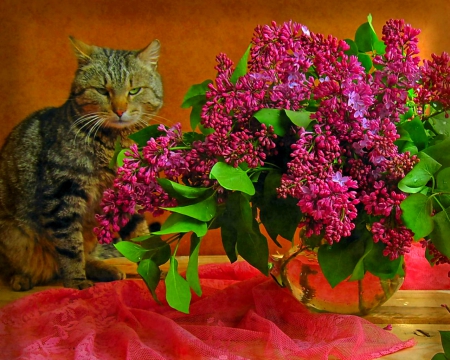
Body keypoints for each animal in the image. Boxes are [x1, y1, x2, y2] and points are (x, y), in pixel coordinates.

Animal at [0, 36, 163, 292]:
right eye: (102, 91)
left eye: (134, 90)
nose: (119, 110)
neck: (114, 144)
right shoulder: (62, 197)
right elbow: (70, 247)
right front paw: (76, 281)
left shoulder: (129, 195)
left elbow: (140, 233)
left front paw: (151, 263)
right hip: (14, 234)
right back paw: (21, 278)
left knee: (87, 256)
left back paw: (105, 270)